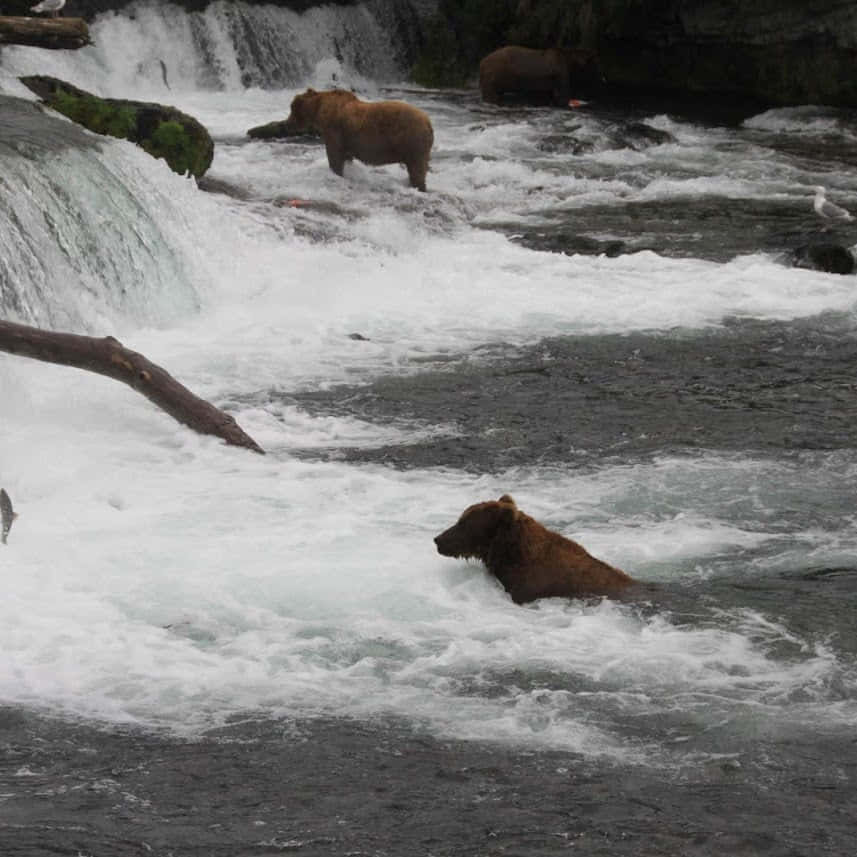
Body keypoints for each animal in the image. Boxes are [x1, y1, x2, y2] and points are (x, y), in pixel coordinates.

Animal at [279, 88, 434, 191]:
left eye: (292, 109)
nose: (286, 124)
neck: (320, 111)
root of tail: (428, 121)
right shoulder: (346, 140)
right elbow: (346, 157)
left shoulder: (334, 131)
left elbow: (334, 156)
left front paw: (336, 173)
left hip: (412, 141)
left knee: (417, 169)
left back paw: (419, 187)